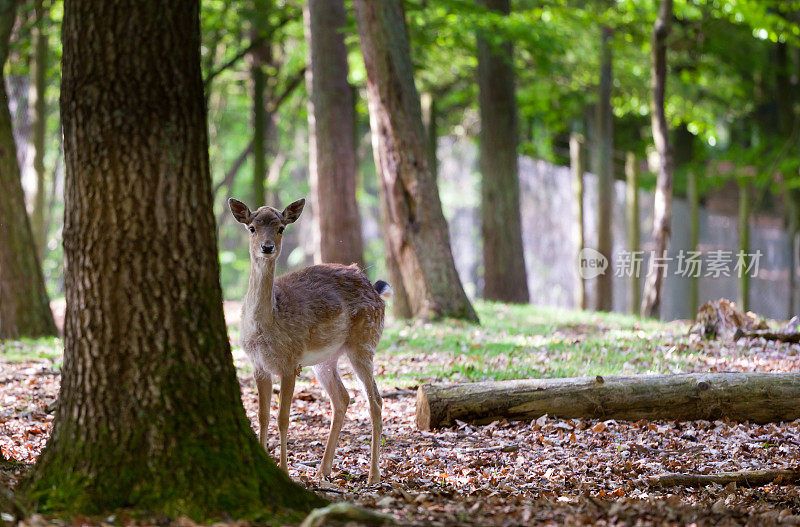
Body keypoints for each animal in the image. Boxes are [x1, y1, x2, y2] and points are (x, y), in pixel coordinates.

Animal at [228, 198, 390, 486]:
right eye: (251, 227)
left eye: (281, 228)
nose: (267, 247)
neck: (265, 326)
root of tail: (376, 289)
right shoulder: (257, 366)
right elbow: (262, 416)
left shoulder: (289, 361)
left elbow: (282, 418)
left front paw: (283, 470)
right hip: (325, 360)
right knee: (342, 398)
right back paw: (323, 470)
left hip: (364, 342)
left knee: (375, 401)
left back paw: (373, 475)